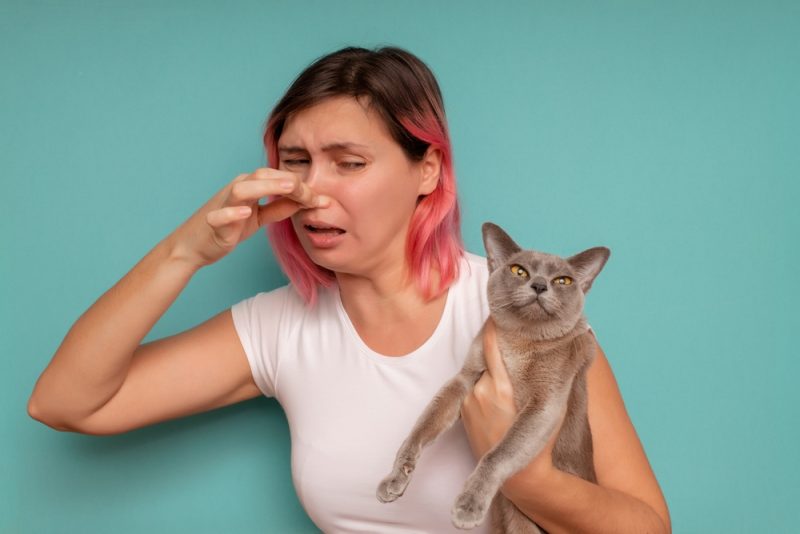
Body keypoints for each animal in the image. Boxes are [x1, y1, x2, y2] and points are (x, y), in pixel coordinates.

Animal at [378, 223, 608, 534]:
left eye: (563, 280)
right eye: (519, 271)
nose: (539, 285)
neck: (518, 343)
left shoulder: (544, 404)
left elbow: (498, 453)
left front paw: (467, 506)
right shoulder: (465, 379)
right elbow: (422, 426)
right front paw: (395, 478)